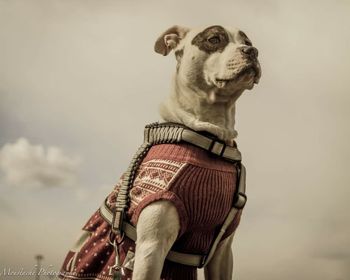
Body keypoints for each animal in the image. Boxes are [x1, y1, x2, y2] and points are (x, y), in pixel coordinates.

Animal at [59, 24, 260, 280]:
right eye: (214, 39)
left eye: (247, 41)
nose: (252, 51)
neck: (210, 139)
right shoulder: (151, 247)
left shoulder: (223, 252)